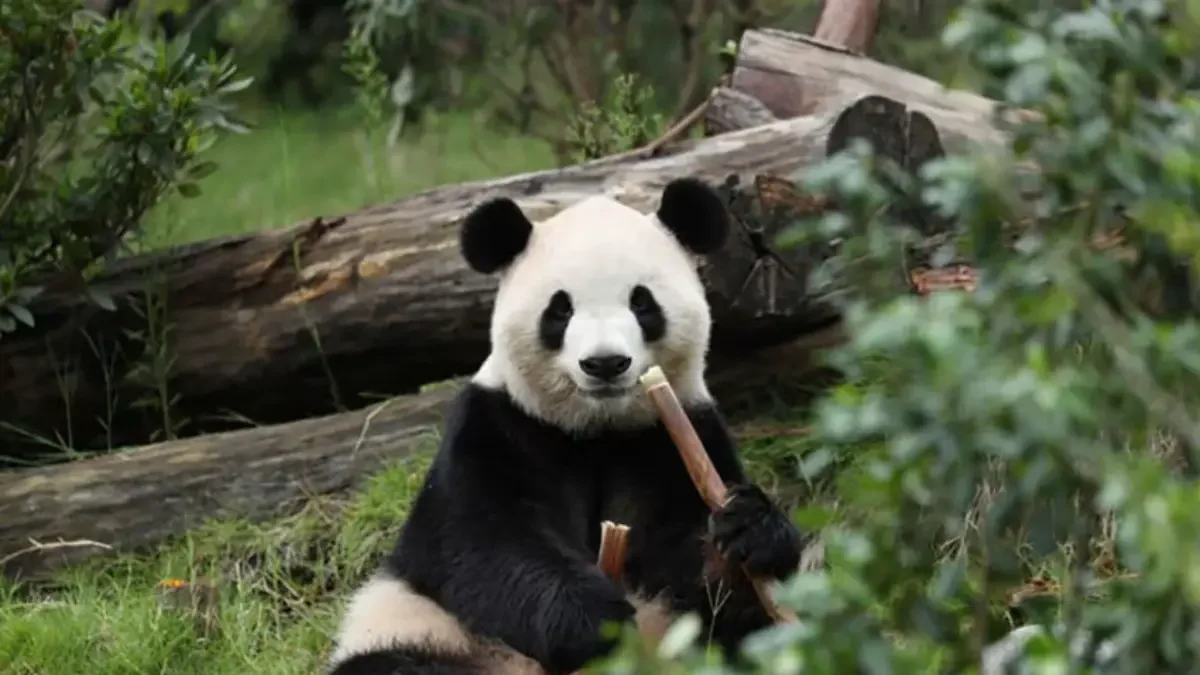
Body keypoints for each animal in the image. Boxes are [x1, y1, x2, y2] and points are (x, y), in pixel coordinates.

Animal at [327, 177, 810, 675]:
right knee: (391, 664)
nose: (605, 363)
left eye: (641, 302)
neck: (597, 430)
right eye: (560, 310)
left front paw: (748, 529)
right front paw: (592, 618)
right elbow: (483, 542)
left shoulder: (674, 438)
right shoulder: (496, 428)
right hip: (424, 630)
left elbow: (698, 574)